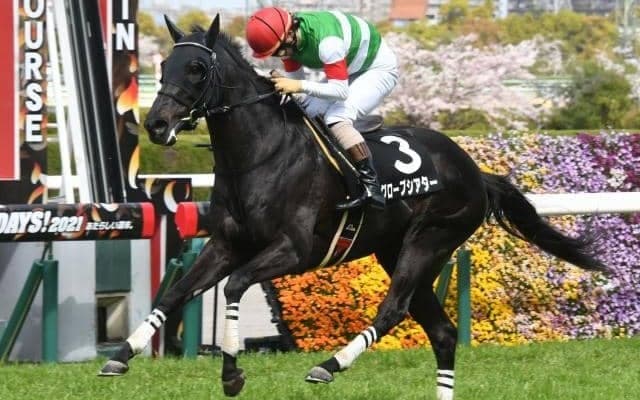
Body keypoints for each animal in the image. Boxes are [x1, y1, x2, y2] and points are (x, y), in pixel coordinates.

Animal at [99, 15, 606, 400]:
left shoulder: (293, 250)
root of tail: (474, 170)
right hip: (396, 251)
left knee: (393, 309)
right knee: (441, 332)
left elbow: (237, 286)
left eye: (197, 69)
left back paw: (329, 364)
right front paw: (121, 356)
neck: (259, 155)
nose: (157, 124)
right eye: (163, 64)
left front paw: (232, 373)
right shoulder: (225, 244)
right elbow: (174, 295)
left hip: (430, 240)